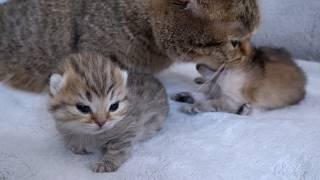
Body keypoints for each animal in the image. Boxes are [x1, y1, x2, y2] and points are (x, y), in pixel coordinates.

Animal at [172, 39, 304, 114]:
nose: (197, 65)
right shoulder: (217, 91)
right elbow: (203, 95)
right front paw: (185, 95)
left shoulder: (232, 99)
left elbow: (210, 102)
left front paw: (193, 106)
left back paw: (244, 110)